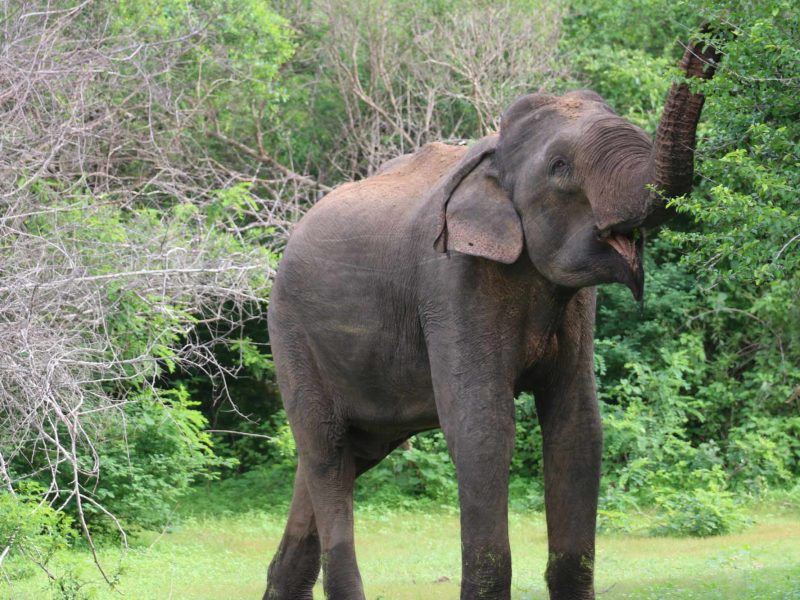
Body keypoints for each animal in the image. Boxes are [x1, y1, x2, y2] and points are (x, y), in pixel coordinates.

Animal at [264, 33, 720, 600]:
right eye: (560, 168)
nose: (710, 37)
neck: (493, 159)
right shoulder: (451, 283)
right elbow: (482, 428)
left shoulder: (574, 307)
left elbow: (578, 428)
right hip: (291, 332)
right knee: (326, 449)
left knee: (344, 454)